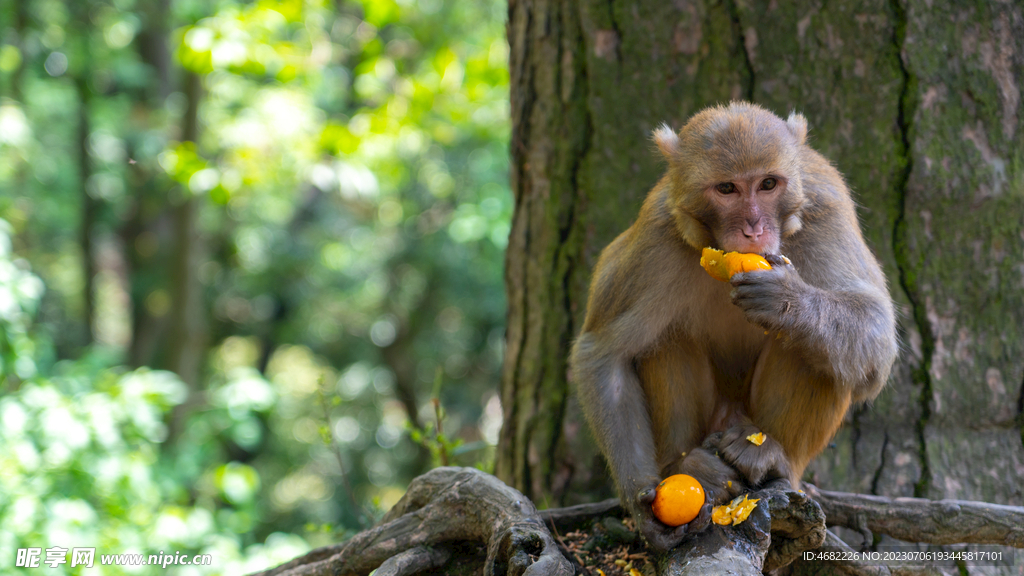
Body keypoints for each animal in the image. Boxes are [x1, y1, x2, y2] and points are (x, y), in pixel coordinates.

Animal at [573, 100, 901, 549]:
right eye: (727, 189)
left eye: (768, 184)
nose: (753, 229)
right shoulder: (657, 236)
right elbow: (604, 353)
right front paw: (643, 506)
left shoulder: (825, 211)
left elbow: (876, 331)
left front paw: (786, 301)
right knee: (666, 339)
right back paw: (688, 464)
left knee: (815, 350)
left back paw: (772, 457)